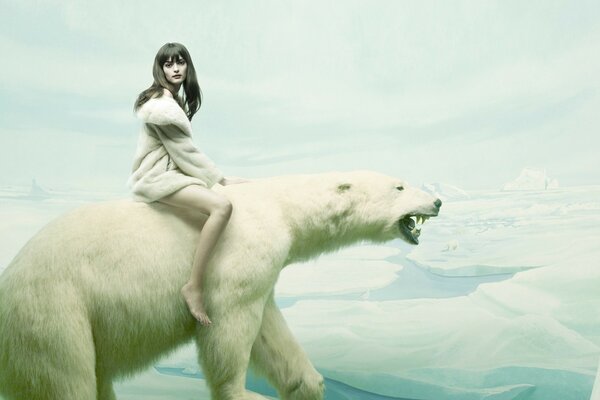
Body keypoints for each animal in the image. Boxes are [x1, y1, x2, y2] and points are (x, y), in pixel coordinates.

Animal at [0, 170, 440, 398]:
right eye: (400, 186)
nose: (436, 202)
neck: (280, 208)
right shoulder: (240, 251)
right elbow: (229, 324)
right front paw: (242, 392)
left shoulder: (266, 269)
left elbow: (270, 331)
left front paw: (306, 384)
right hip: (54, 311)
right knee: (64, 378)